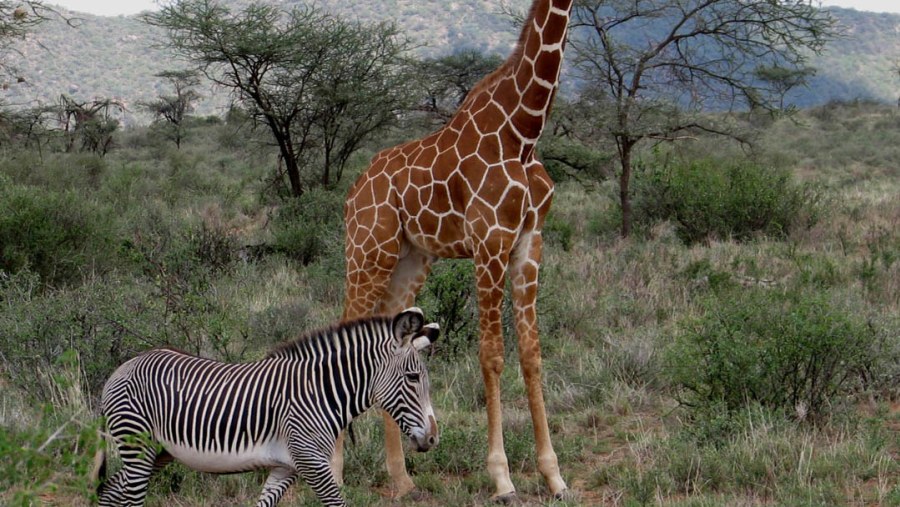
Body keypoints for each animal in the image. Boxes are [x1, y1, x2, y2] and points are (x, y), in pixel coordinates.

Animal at [94, 308, 440, 506]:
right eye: (412, 377)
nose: (433, 439)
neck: (319, 393)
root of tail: (121, 369)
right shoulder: (312, 462)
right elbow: (338, 503)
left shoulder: (286, 467)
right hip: (137, 445)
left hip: (157, 452)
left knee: (110, 494)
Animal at [342, 0, 572, 500]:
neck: (523, 130)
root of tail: (352, 192)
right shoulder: (490, 241)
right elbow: (493, 354)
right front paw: (502, 478)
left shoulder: (530, 242)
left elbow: (531, 353)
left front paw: (553, 475)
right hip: (368, 250)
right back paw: (332, 470)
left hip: (411, 259)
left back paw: (401, 478)